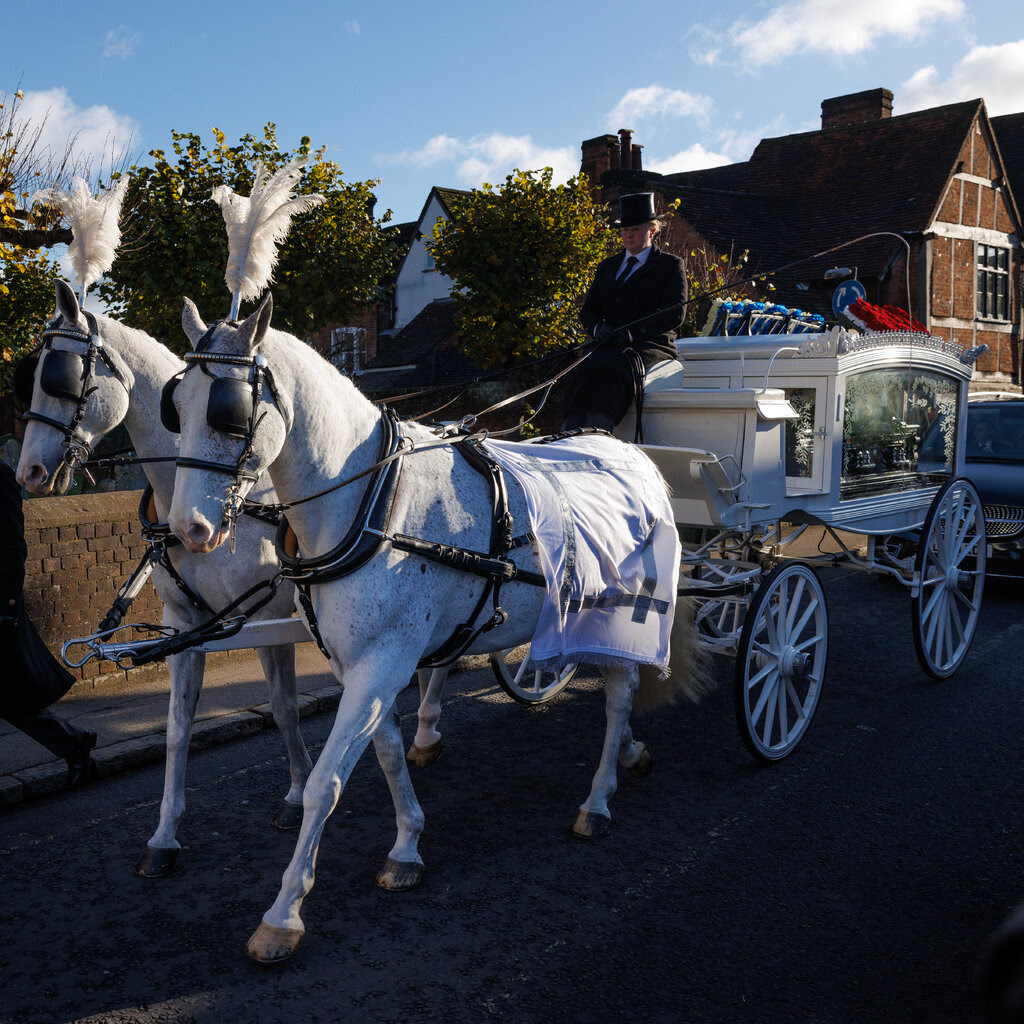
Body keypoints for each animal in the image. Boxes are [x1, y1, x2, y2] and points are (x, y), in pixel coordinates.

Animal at [14, 284, 313, 876]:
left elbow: (285, 708)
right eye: (32, 374)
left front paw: (296, 795)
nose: (27, 473)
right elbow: (177, 729)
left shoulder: (269, 617)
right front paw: (164, 834)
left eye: (60, 376)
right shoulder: (184, 624)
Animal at [167, 294, 708, 958]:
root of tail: (636, 457)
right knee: (615, 690)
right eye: (177, 406)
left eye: (228, 412)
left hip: (622, 612)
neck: (375, 502)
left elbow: (325, 783)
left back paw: (599, 799)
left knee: (619, 693)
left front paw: (284, 912)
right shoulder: (364, 664)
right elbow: (388, 755)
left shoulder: (382, 663)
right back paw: (629, 752)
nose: (187, 529)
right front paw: (407, 845)